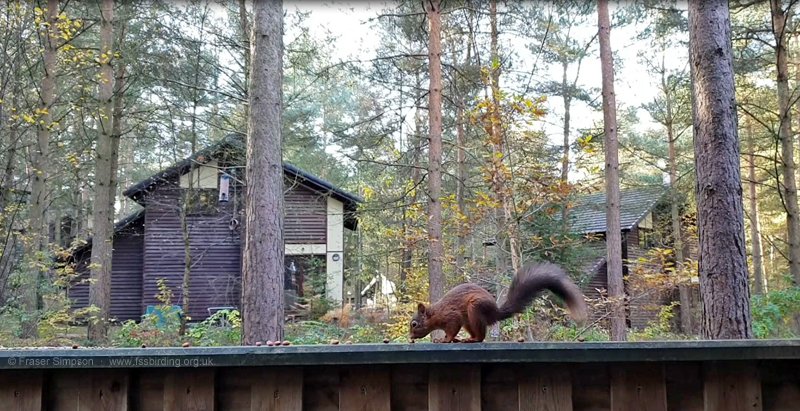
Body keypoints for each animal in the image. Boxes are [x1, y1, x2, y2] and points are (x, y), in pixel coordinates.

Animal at [410, 262, 584, 342]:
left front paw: (444, 339)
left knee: (481, 336)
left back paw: (471, 339)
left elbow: (451, 330)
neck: (436, 313)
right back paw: (466, 338)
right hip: (469, 321)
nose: (410, 337)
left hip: (475, 308)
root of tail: (495, 313)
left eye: (414, 324)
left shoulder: (452, 317)